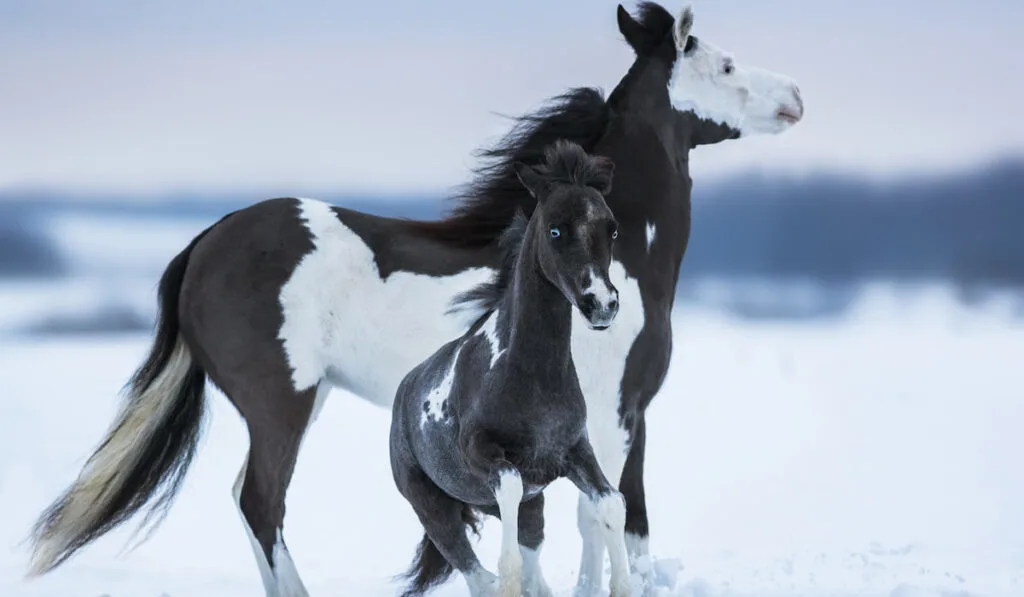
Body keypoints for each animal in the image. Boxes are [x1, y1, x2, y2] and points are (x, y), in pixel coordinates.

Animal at [391, 141, 630, 597]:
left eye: (611, 229)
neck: (532, 376)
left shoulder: (574, 452)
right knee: (476, 573)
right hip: (434, 511)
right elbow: (509, 547)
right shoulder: (485, 455)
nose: (602, 304)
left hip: (523, 507)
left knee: (529, 557)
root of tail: (404, 393)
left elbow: (612, 504)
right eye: (555, 230)